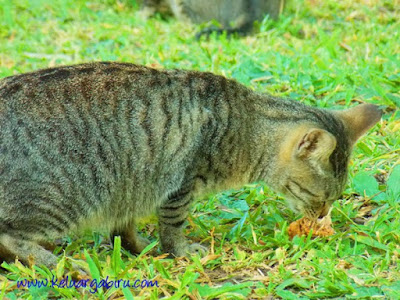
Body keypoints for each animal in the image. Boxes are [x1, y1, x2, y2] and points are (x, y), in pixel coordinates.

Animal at [0, 61, 382, 268]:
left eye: (334, 199)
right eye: (321, 198)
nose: (321, 216)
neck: (246, 123)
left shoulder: (130, 185)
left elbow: (124, 229)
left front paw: (139, 249)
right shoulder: (179, 185)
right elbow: (173, 227)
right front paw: (178, 251)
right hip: (61, 198)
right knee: (11, 237)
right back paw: (57, 264)